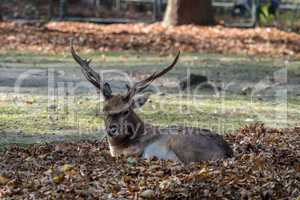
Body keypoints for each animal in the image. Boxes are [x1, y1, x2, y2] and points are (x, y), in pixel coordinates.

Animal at [71, 44, 233, 163]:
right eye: (104, 110)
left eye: (126, 111)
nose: (112, 130)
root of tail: (227, 151)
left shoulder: (133, 151)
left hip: (181, 143)